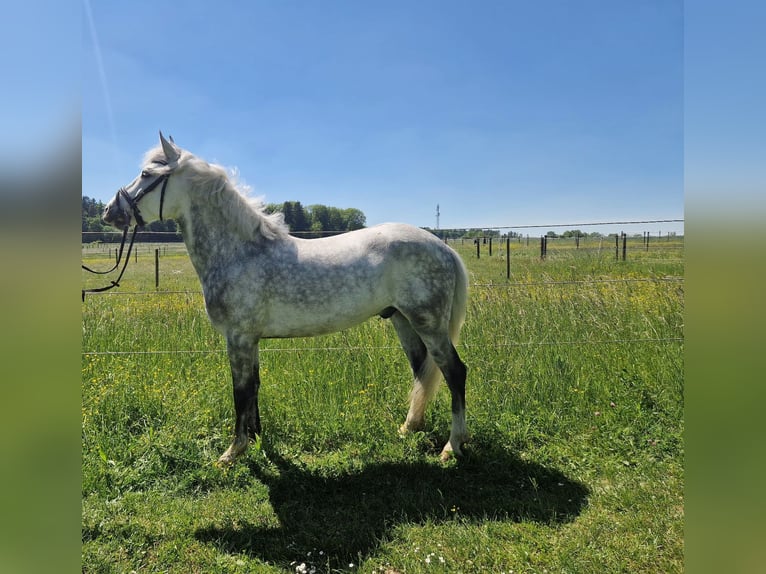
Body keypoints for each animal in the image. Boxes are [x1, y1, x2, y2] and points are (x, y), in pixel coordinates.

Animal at [102, 132, 469, 463]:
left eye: (146, 174)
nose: (109, 213)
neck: (241, 252)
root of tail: (443, 247)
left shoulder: (238, 338)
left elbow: (240, 391)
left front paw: (233, 452)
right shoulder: (250, 340)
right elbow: (254, 388)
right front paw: (255, 439)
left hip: (428, 323)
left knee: (454, 372)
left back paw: (452, 447)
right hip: (403, 321)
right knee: (421, 369)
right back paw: (409, 428)